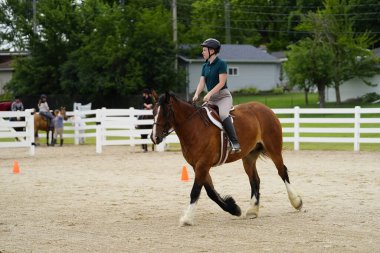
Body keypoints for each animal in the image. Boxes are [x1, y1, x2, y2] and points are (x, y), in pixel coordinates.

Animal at [151, 92, 302, 226]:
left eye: (165, 112)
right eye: (153, 112)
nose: (154, 137)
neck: (195, 128)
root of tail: (265, 108)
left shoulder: (203, 165)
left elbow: (195, 191)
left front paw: (187, 218)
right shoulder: (197, 166)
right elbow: (211, 192)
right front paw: (234, 208)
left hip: (274, 149)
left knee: (282, 172)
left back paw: (296, 202)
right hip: (248, 157)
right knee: (255, 180)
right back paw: (252, 210)